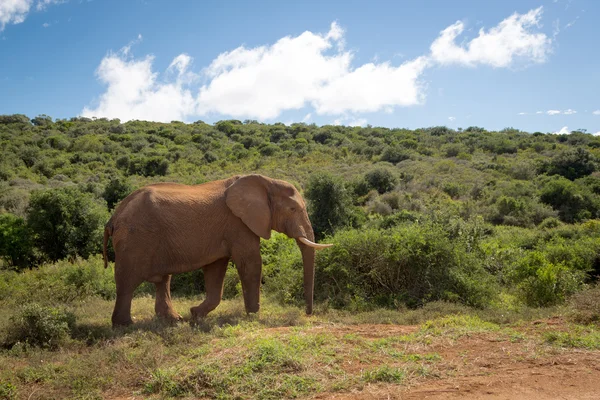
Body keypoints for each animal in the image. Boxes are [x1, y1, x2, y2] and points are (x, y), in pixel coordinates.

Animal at [101, 173, 330, 326]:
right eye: (293, 209)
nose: (308, 314)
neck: (266, 181)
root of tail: (113, 217)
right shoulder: (238, 223)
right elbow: (251, 263)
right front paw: (254, 315)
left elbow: (216, 269)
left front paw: (195, 315)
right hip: (135, 239)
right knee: (127, 281)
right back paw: (124, 325)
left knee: (162, 280)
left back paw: (174, 320)